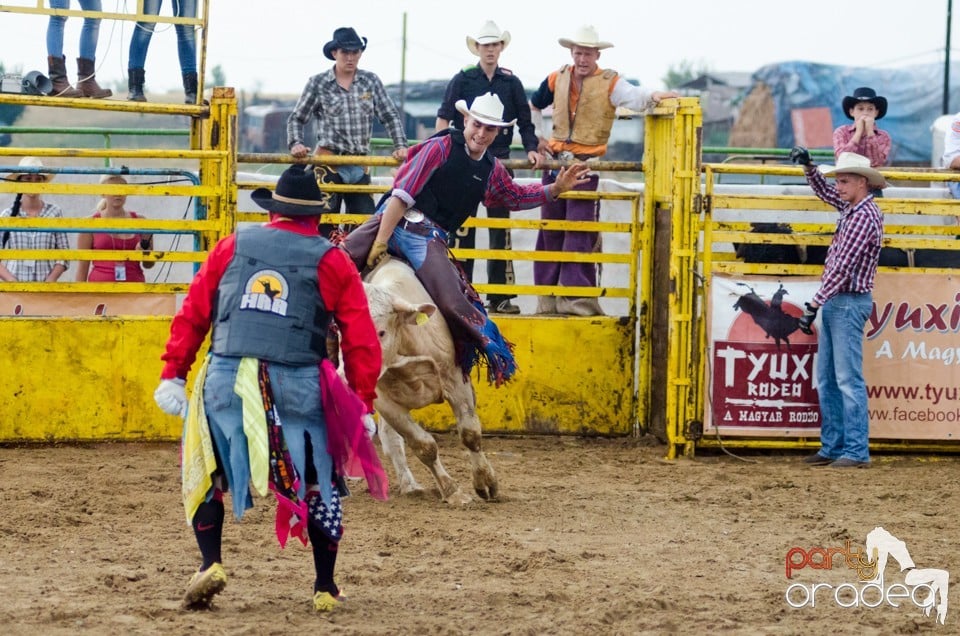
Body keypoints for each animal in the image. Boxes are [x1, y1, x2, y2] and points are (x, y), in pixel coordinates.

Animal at [360, 256, 496, 504]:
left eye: (381, 332)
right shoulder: (385, 402)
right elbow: (423, 445)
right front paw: (452, 491)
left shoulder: (456, 382)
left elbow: (470, 434)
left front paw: (485, 483)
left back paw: (410, 485)